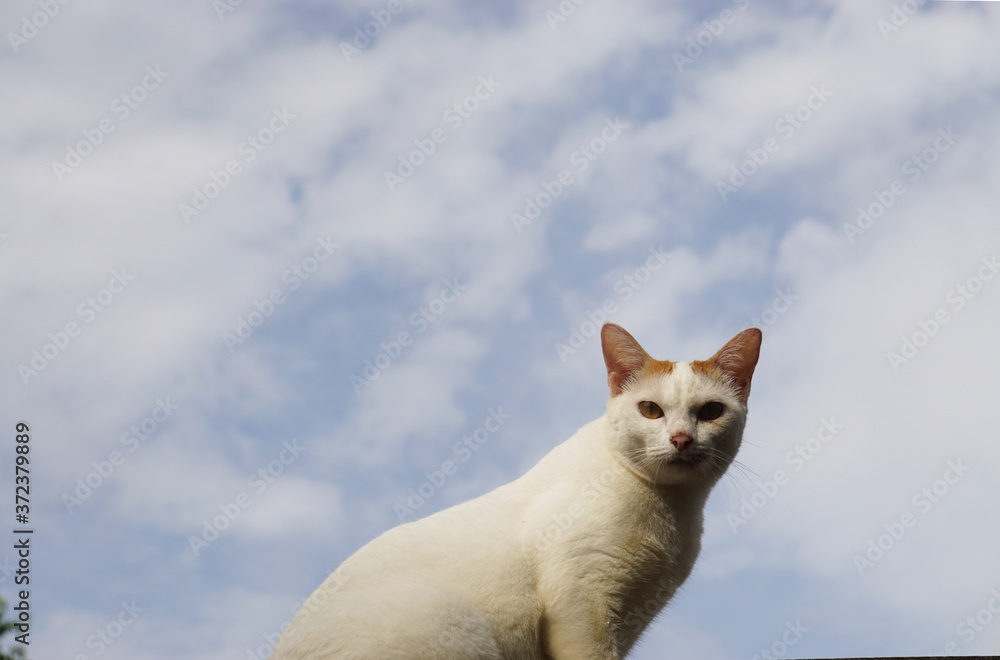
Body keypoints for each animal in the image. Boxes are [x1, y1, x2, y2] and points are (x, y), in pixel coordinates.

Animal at [270, 322, 760, 656]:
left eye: (710, 411)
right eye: (651, 410)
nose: (681, 439)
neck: (672, 510)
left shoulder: (628, 619)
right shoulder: (581, 603)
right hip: (453, 618)